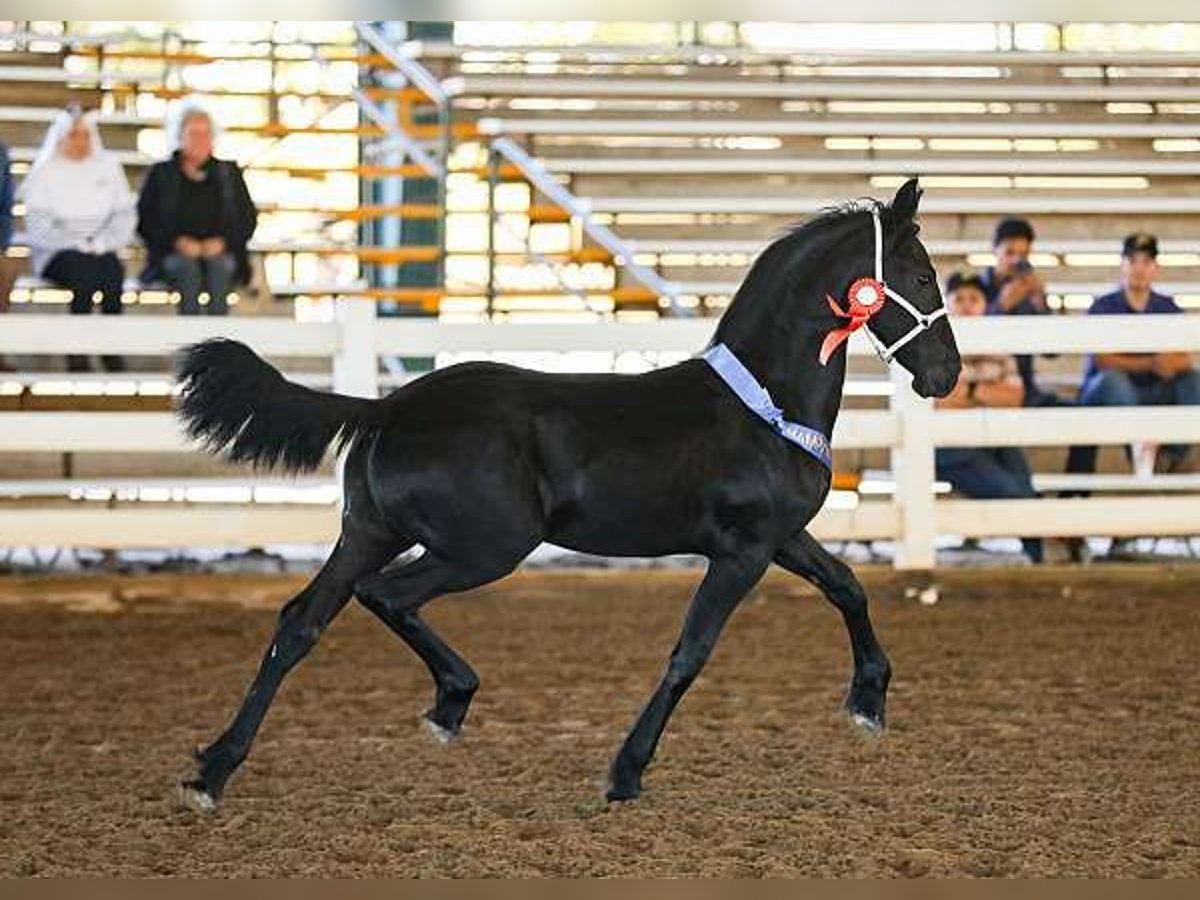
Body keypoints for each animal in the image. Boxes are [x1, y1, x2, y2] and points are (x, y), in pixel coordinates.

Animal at [175, 177, 960, 812]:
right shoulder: (742, 551)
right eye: (923, 277)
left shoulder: (782, 537)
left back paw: (213, 771)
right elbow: (691, 651)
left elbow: (847, 585)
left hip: (369, 531)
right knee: (387, 596)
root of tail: (388, 407)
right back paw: (449, 703)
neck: (763, 402)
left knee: (301, 623)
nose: (947, 374)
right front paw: (625, 772)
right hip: (483, 547)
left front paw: (868, 700)